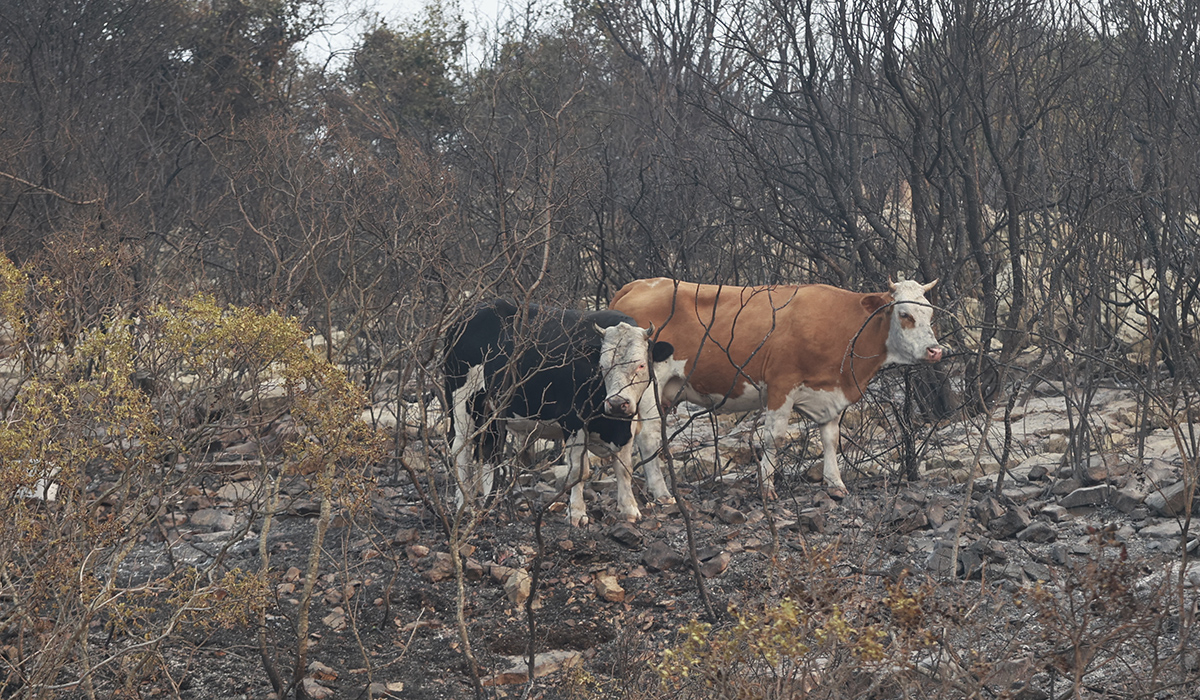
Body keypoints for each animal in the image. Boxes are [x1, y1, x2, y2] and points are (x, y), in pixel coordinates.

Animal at [444, 301, 676, 525]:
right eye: (602, 366)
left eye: (641, 365)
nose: (617, 403)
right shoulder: (573, 422)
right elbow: (578, 471)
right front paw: (576, 513)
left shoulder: (626, 424)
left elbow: (624, 468)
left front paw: (630, 509)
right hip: (463, 400)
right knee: (461, 449)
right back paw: (465, 506)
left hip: (491, 413)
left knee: (489, 449)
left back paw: (491, 504)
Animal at [614, 276, 940, 501]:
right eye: (904, 315)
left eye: (930, 315)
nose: (935, 350)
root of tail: (638, 284)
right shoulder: (781, 384)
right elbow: (773, 438)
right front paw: (767, 488)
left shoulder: (830, 392)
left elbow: (831, 438)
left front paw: (836, 484)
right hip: (648, 386)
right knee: (648, 437)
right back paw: (662, 494)